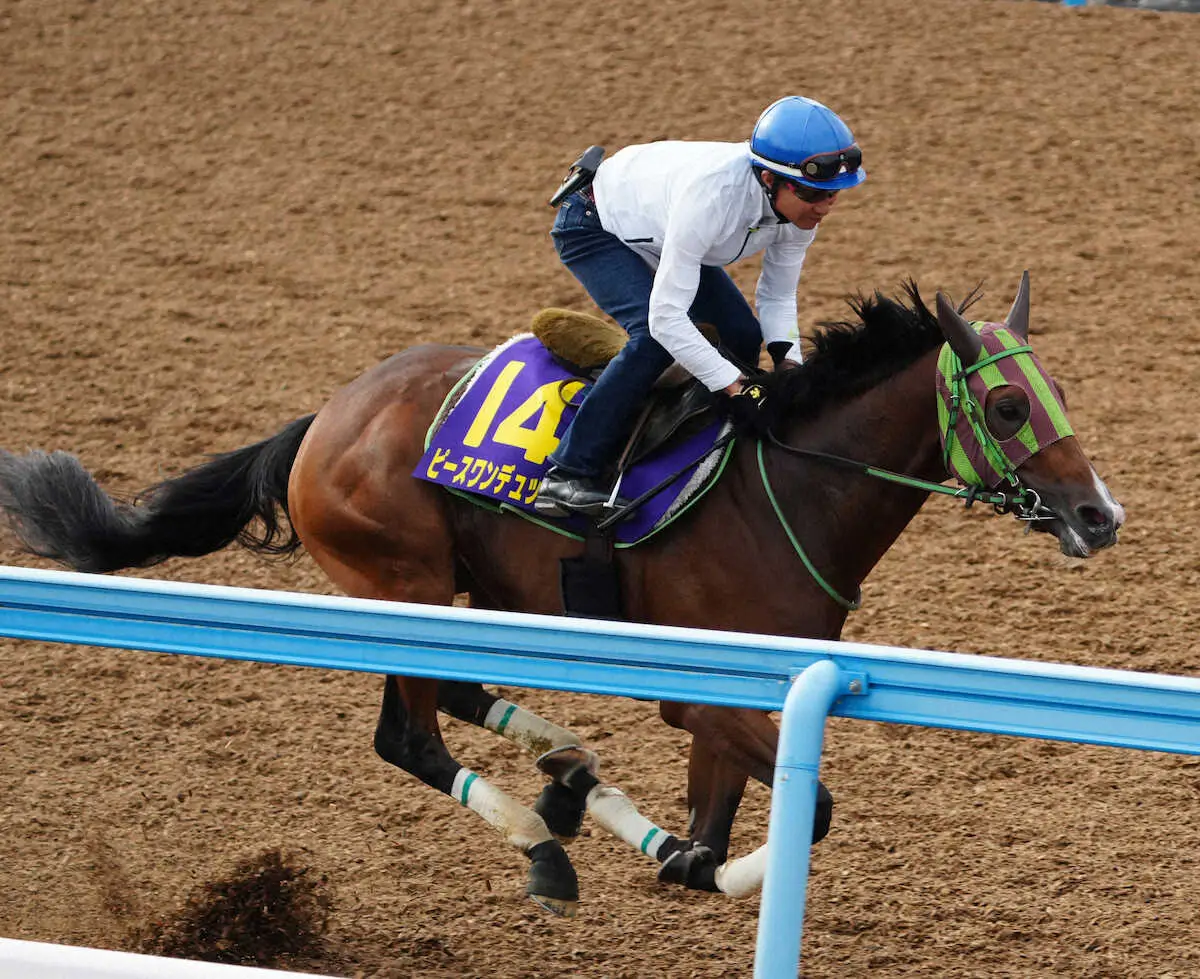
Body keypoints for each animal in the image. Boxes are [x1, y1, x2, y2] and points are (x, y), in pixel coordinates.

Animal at [0, 273, 1123, 916]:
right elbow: (808, 810)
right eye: (1007, 404)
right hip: (401, 581)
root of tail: (324, 416)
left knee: (460, 699)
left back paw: (569, 778)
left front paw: (679, 852)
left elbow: (714, 821)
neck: (788, 485)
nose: (1099, 514)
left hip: (473, 590)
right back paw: (547, 843)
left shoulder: (742, 685)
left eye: (1060, 392)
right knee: (408, 737)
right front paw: (712, 867)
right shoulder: (699, 688)